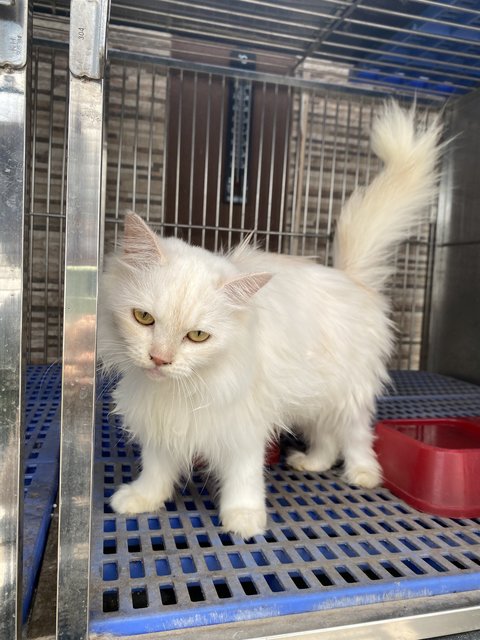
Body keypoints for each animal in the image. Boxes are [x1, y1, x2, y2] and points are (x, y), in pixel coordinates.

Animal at [97, 102, 442, 536]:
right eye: (143, 318)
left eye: (197, 336)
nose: (160, 359)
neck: (181, 390)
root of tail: (350, 277)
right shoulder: (162, 424)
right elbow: (157, 469)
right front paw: (142, 499)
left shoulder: (243, 425)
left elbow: (244, 477)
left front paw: (244, 520)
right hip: (312, 397)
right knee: (326, 438)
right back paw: (313, 463)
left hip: (347, 396)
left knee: (357, 437)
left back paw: (363, 474)